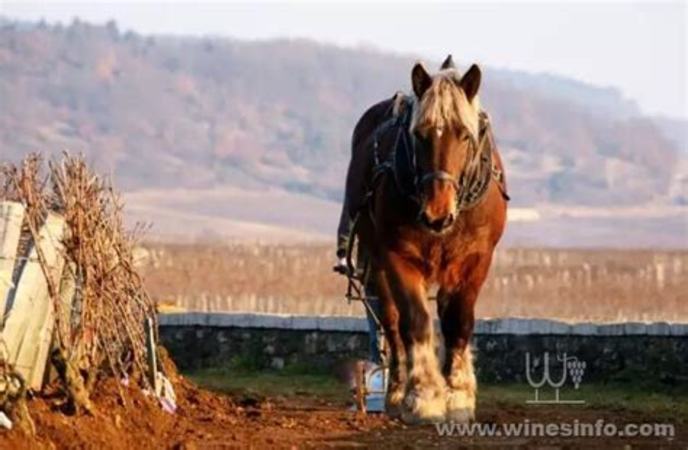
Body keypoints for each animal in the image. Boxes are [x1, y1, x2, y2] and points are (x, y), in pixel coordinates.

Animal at [346, 54, 508, 424]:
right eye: (420, 134)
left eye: (464, 135)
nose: (437, 213)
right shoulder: (398, 256)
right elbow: (415, 322)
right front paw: (424, 396)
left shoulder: (476, 259)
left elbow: (458, 322)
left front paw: (458, 396)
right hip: (376, 261)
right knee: (391, 323)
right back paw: (394, 392)